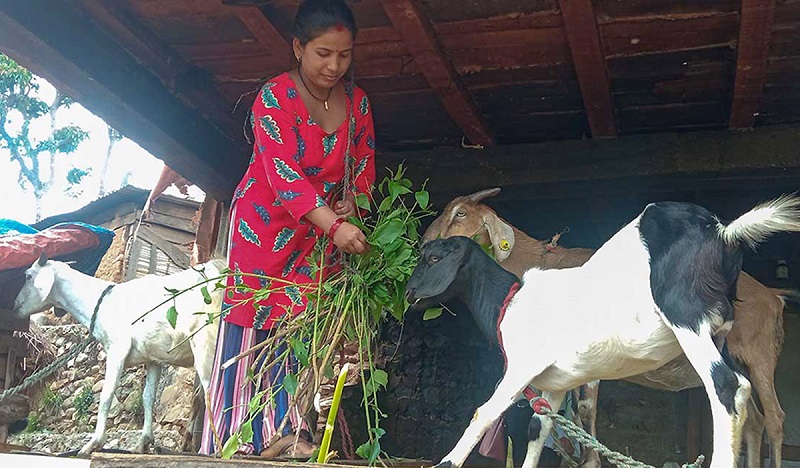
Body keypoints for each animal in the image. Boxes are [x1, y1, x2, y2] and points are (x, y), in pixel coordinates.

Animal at [12, 254, 223, 456]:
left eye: (28, 276)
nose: (14, 306)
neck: (101, 302)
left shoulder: (117, 349)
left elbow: (106, 396)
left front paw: (93, 444)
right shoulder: (154, 358)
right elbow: (148, 398)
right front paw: (143, 442)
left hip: (207, 342)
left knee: (211, 390)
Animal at [406, 197, 800, 468]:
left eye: (434, 259)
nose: (408, 294)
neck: (510, 300)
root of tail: (723, 233)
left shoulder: (522, 367)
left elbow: (483, 414)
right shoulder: (553, 386)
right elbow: (538, 429)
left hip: (688, 318)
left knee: (728, 387)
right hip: (720, 336)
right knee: (744, 400)